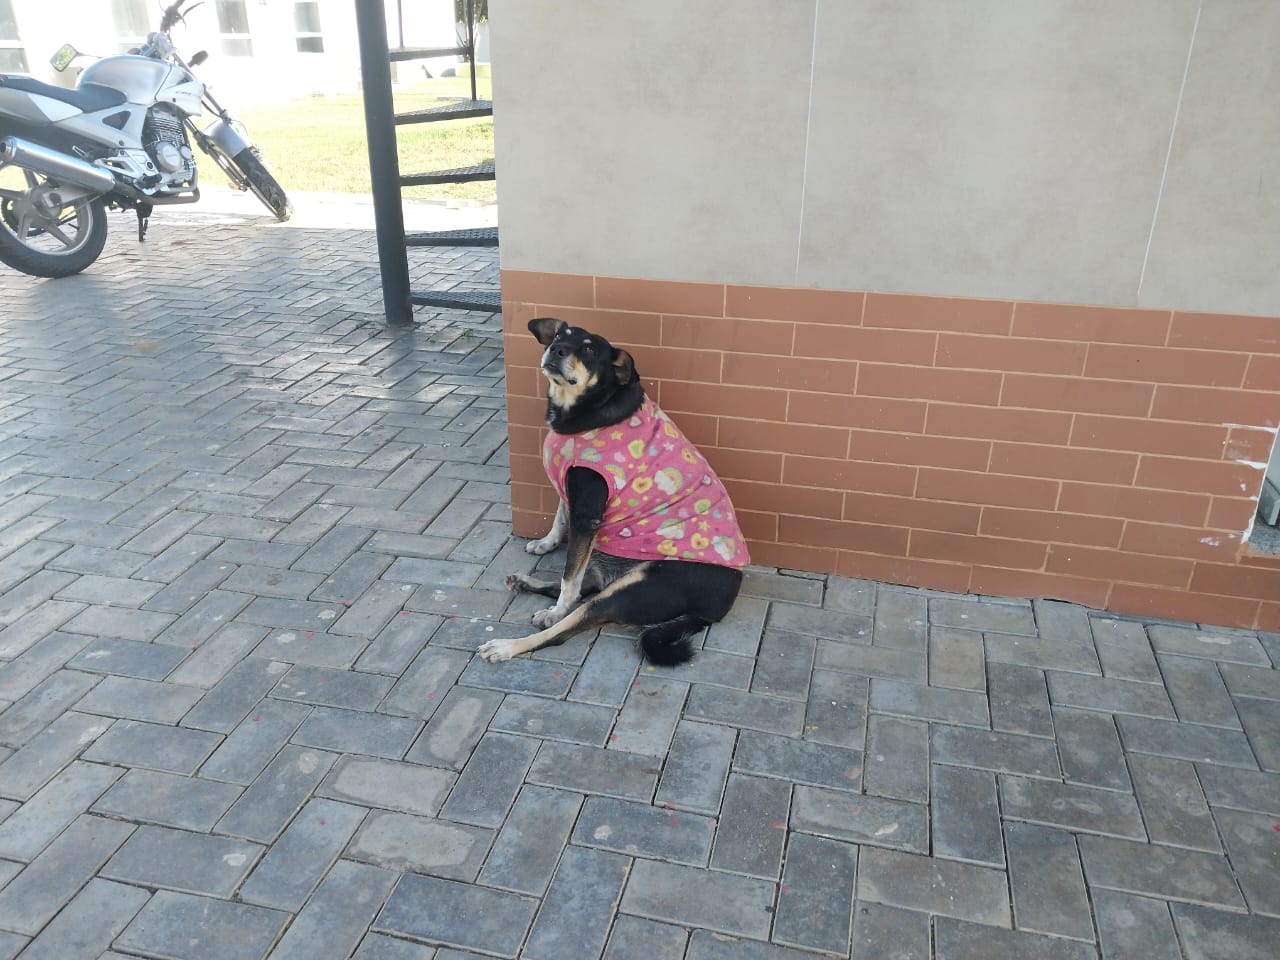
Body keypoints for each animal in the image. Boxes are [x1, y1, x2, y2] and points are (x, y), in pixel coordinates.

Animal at [478, 317, 749, 665]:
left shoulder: (586, 512)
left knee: (569, 620)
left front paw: (556, 610)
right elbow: (559, 517)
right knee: (587, 585)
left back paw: (510, 643)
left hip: (635, 589)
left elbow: (569, 579)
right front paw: (546, 543)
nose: (557, 349)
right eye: (559, 335)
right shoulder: (571, 490)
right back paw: (526, 583)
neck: (587, 407)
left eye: (590, 350)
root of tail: (715, 610)